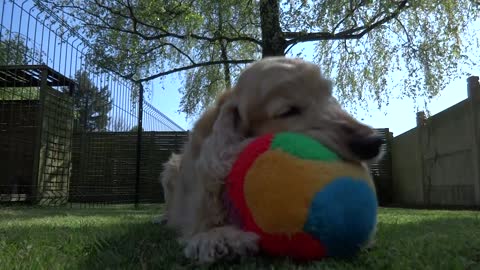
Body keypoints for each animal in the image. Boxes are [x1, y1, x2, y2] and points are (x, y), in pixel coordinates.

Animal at [159, 56, 384, 262]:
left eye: (329, 96)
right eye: (288, 111)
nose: (373, 142)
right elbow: (206, 228)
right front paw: (223, 238)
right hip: (171, 169)